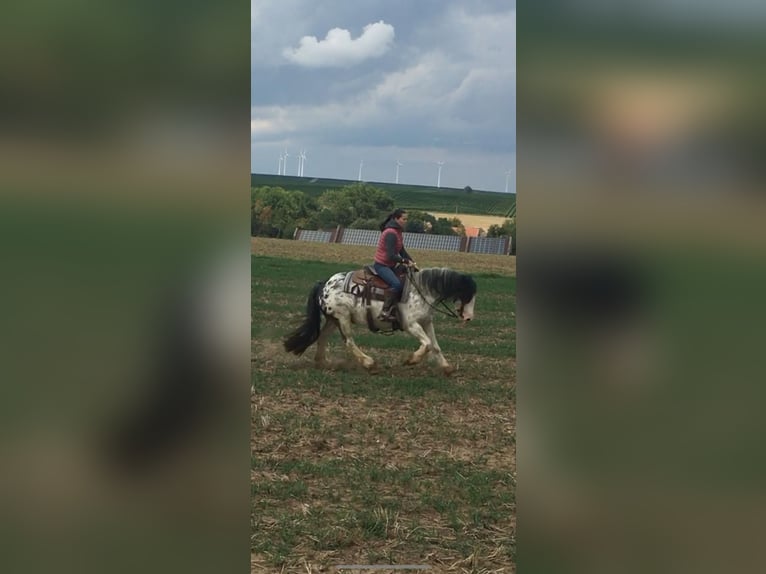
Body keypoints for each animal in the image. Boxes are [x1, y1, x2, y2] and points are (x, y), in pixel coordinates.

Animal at [284, 268, 476, 376]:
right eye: (467, 294)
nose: (468, 318)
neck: (420, 291)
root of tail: (324, 284)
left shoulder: (426, 322)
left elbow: (435, 346)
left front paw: (447, 368)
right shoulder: (411, 325)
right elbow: (427, 344)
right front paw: (411, 360)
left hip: (333, 319)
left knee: (322, 337)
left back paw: (322, 362)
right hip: (342, 318)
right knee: (349, 342)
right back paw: (370, 364)